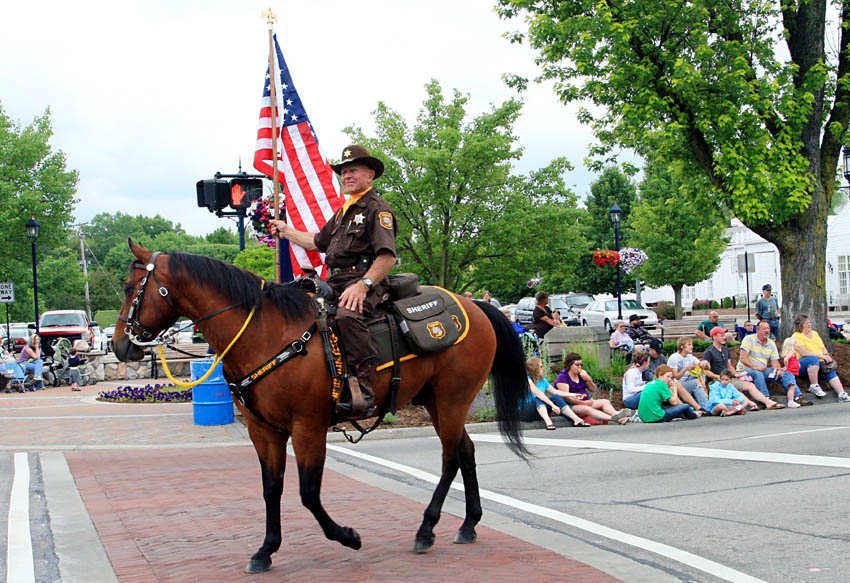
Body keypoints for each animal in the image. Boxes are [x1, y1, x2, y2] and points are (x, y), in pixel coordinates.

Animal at [109, 241, 528, 576]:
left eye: (130, 288)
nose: (119, 346)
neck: (265, 333)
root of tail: (473, 305)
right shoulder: (263, 430)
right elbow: (271, 488)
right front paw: (265, 550)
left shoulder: (307, 428)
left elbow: (308, 493)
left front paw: (348, 536)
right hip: (436, 402)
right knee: (466, 451)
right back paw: (468, 524)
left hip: (452, 398)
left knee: (450, 458)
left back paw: (426, 529)